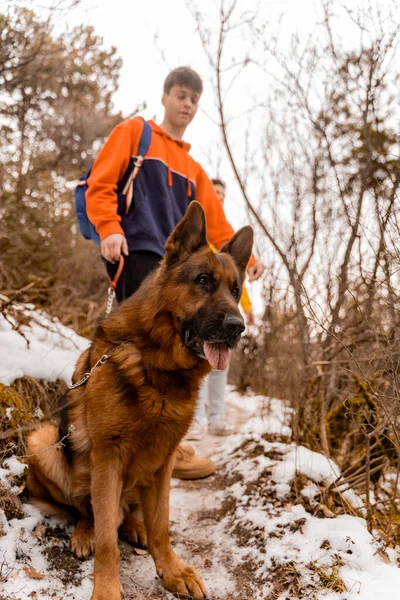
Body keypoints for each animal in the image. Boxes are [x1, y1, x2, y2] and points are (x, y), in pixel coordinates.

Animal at [25, 203, 253, 600]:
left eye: (235, 290)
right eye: (203, 281)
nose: (237, 327)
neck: (158, 367)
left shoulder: (162, 462)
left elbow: (162, 525)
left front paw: (171, 570)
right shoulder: (107, 457)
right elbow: (107, 542)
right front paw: (106, 588)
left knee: (125, 511)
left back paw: (134, 525)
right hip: (44, 442)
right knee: (88, 511)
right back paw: (85, 531)